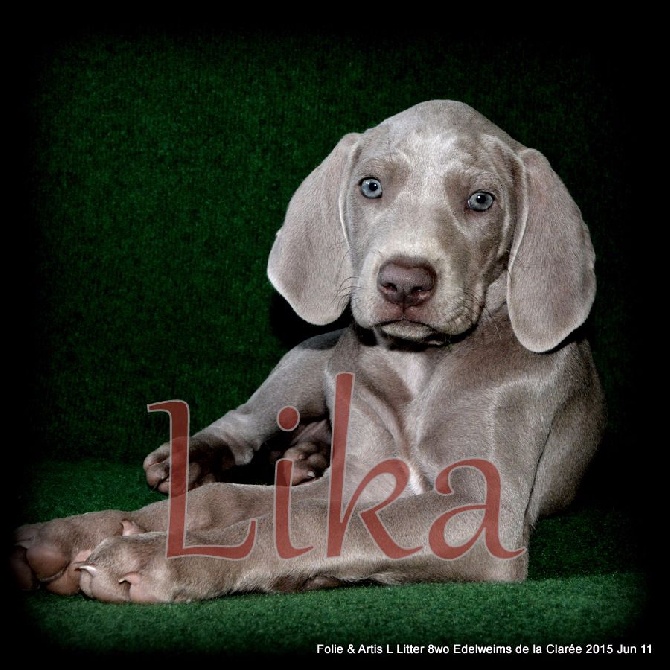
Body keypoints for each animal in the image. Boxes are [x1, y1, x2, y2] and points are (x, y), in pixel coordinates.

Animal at [12, 100, 606, 603]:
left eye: (482, 200)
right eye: (371, 187)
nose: (404, 282)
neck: (418, 369)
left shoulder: (481, 512)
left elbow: (308, 525)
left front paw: (162, 556)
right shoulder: (360, 475)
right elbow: (222, 500)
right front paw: (72, 532)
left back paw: (304, 456)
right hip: (313, 358)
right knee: (246, 423)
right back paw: (191, 459)